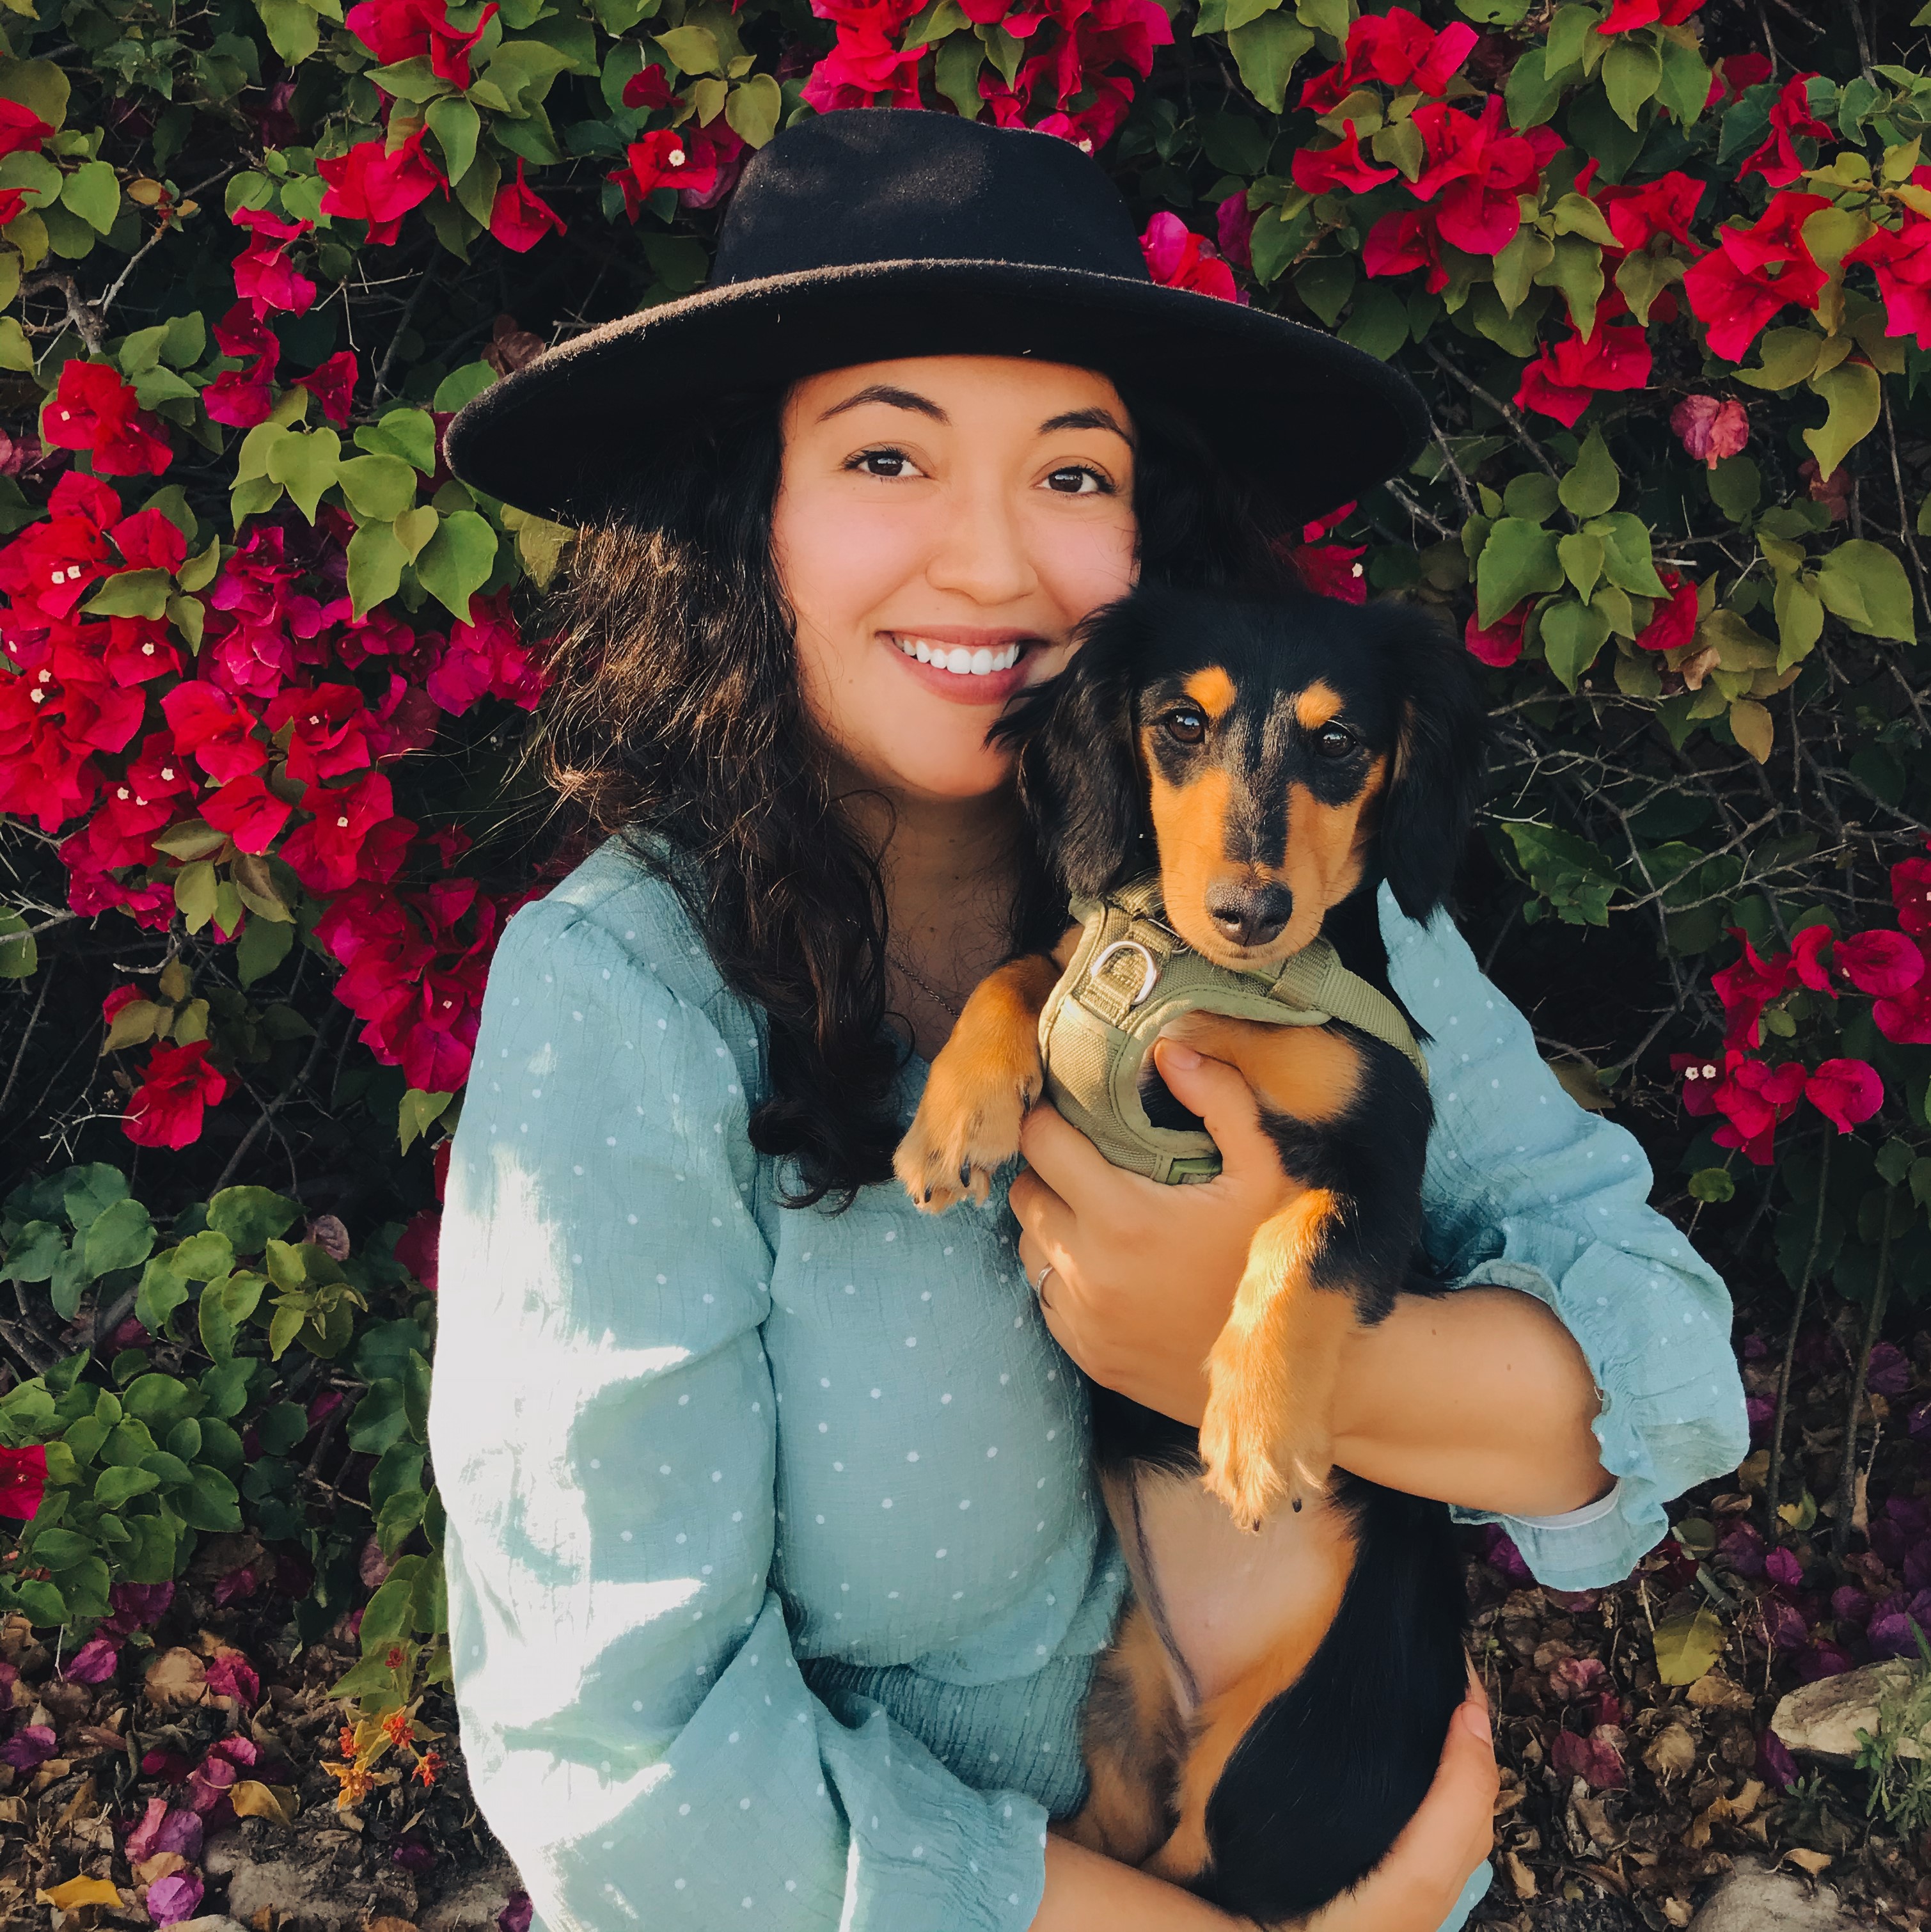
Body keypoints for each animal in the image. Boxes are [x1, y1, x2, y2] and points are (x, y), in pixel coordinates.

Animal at [892, 580, 1490, 1924]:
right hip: (1121, 1722)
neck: (1201, 985)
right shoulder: (1086, 977)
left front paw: (1253, 1429)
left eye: (1337, 741)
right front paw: (955, 1115)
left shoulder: (1380, 1165)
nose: (1249, 913)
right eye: (1178, 723)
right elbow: (1030, 969)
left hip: (1271, 1770)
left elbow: (1299, 1238)